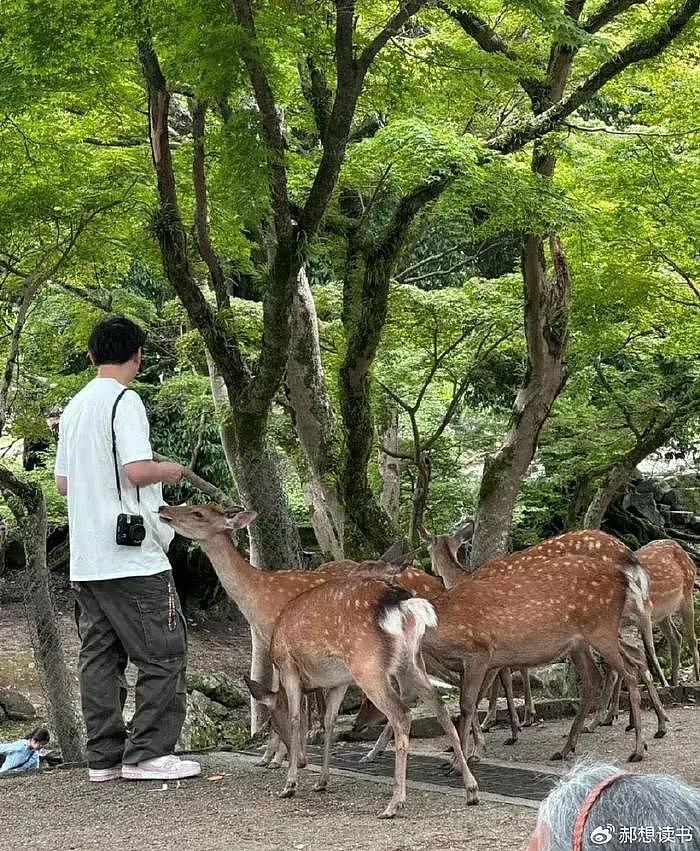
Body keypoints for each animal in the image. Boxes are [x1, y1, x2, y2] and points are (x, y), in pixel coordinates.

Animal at [243, 580, 478, 820]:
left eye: (273, 725)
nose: (300, 761)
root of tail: (404, 604)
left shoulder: (288, 666)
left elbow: (295, 718)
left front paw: (289, 785)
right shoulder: (338, 682)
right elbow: (329, 721)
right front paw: (321, 781)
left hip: (368, 665)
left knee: (401, 714)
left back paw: (394, 804)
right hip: (411, 661)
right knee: (440, 707)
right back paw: (471, 789)